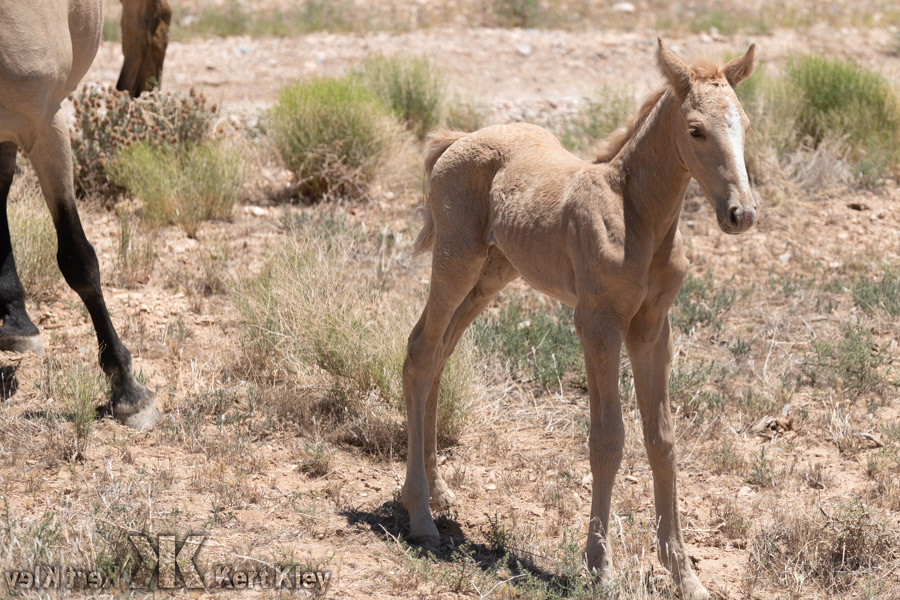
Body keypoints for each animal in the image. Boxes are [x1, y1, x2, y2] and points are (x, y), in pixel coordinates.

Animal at [400, 39, 757, 600]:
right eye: (696, 129)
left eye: (744, 123)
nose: (741, 214)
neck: (637, 217)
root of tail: (458, 140)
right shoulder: (597, 323)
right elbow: (608, 438)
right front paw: (600, 567)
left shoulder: (653, 327)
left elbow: (662, 438)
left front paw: (685, 574)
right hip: (455, 263)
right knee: (419, 351)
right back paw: (420, 517)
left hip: (491, 276)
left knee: (439, 356)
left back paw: (439, 494)